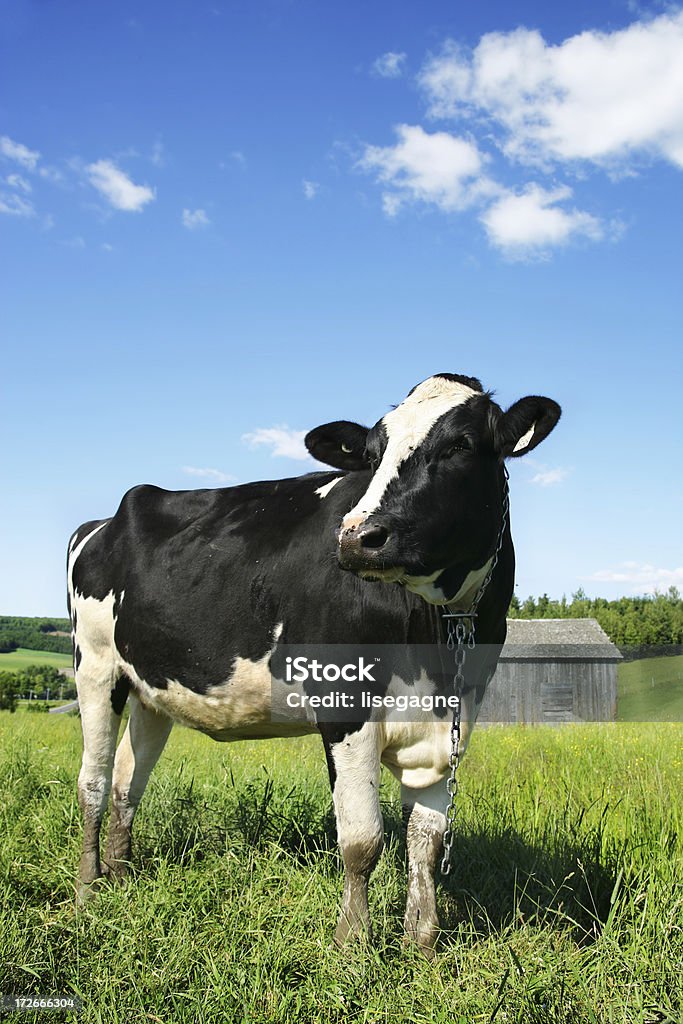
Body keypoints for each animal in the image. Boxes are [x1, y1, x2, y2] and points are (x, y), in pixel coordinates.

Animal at [68, 374, 561, 950]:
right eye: (370, 454)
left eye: (461, 444)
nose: (358, 538)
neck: (436, 636)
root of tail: (105, 521)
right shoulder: (344, 704)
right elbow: (363, 838)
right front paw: (353, 942)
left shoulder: (458, 714)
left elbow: (426, 839)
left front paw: (422, 941)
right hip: (95, 668)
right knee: (94, 781)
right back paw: (87, 891)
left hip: (151, 689)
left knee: (127, 781)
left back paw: (121, 878)